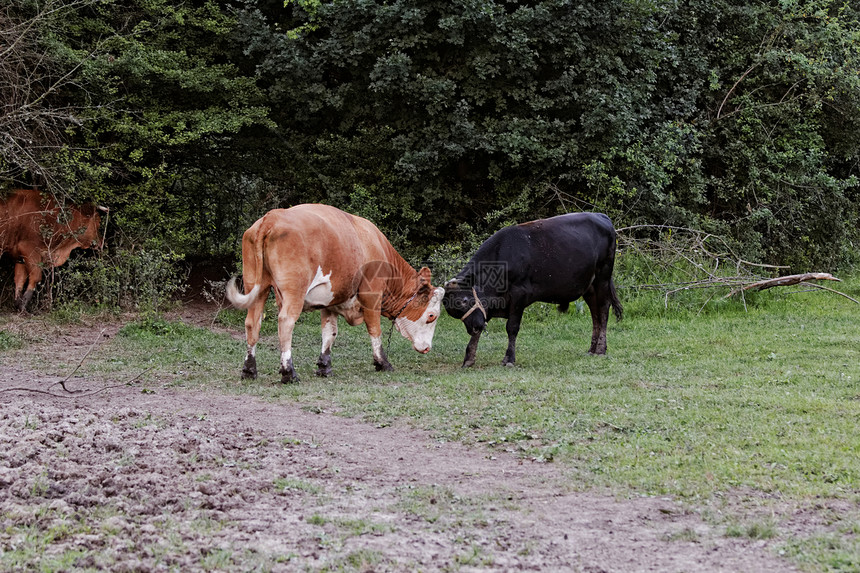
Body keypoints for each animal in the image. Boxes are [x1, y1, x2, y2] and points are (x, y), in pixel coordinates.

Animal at [225, 202, 446, 384]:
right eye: (431, 316)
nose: (427, 348)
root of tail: (272, 216)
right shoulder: (372, 294)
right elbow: (375, 329)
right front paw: (382, 363)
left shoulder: (330, 300)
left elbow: (329, 332)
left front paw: (324, 367)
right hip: (293, 291)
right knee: (286, 322)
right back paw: (289, 373)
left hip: (258, 286)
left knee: (252, 323)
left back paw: (249, 370)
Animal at [446, 211, 620, 366]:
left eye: (464, 300)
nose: (475, 328)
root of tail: (601, 216)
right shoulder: (486, 304)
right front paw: (469, 358)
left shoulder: (519, 294)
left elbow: (512, 327)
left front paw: (509, 358)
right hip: (589, 286)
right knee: (595, 313)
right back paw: (592, 349)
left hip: (603, 277)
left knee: (603, 310)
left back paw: (601, 349)